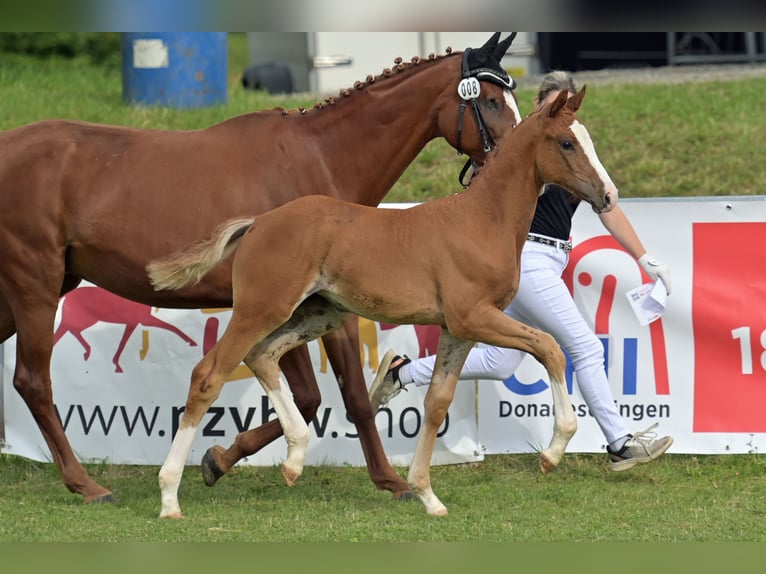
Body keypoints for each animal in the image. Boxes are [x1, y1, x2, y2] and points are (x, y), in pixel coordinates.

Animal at [0, 32, 521, 504]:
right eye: (491, 100)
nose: (514, 159)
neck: (320, 159)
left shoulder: (314, 306)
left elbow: (319, 396)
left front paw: (219, 460)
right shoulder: (292, 306)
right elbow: (337, 395)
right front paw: (390, 481)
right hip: (36, 284)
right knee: (33, 381)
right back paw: (85, 484)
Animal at [147, 86, 618, 518]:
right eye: (566, 143)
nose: (609, 196)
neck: (482, 220)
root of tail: (258, 222)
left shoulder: (456, 330)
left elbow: (436, 404)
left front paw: (427, 496)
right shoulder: (474, 318)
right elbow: (550, 348)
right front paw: (553, 451)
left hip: (319, 314)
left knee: (263, 356)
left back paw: (295, 458)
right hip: (260, 309)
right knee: (209, 375)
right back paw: (170, 496)